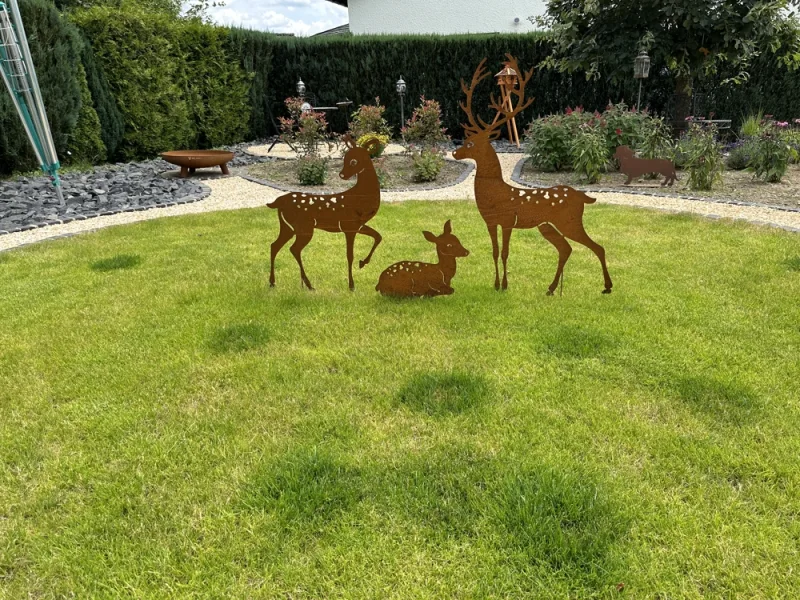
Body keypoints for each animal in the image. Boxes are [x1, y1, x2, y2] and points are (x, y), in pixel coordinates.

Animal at [268, 136, 382, 290]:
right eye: (345, 158)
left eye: (354, 161)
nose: (342, 175)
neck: (360, 198)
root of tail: (279, 202)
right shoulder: (348, 226)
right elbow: (349, 255)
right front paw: (351, 285)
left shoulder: (357, 225)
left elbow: (378, 236)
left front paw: (362, 263)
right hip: (304, 227)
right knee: (294, 249)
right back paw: (308, 285)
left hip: (287, 227)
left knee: (274, 245)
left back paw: (274, 282)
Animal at [454, 56, 616, 296]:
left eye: (471, 143)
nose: (455, 153)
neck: (495, 193)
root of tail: (583, 197)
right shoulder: (490, 222)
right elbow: (494, 252)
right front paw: (495, 285)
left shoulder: (508, 221)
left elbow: (505, 252)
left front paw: (504, 285)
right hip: (547, 225)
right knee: (566, 249)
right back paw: (551, 289)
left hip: (569, 221)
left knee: (597, 246)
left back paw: (606, 287)